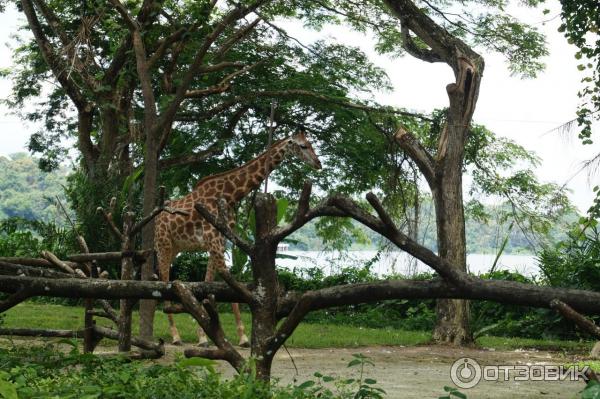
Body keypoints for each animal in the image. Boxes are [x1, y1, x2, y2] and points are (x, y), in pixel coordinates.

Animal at [157, 132, 322, 346]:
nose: (318, 163)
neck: (230, 195)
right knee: (163, 281)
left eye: (310, 144)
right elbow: (228, 284)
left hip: (176, 247)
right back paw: (175, 335)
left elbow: (211, 284)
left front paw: (207, 336)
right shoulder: (214, 241)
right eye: (303, 146)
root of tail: (157, 217)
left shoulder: (221, 241)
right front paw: (238, 336)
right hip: (164, 245)